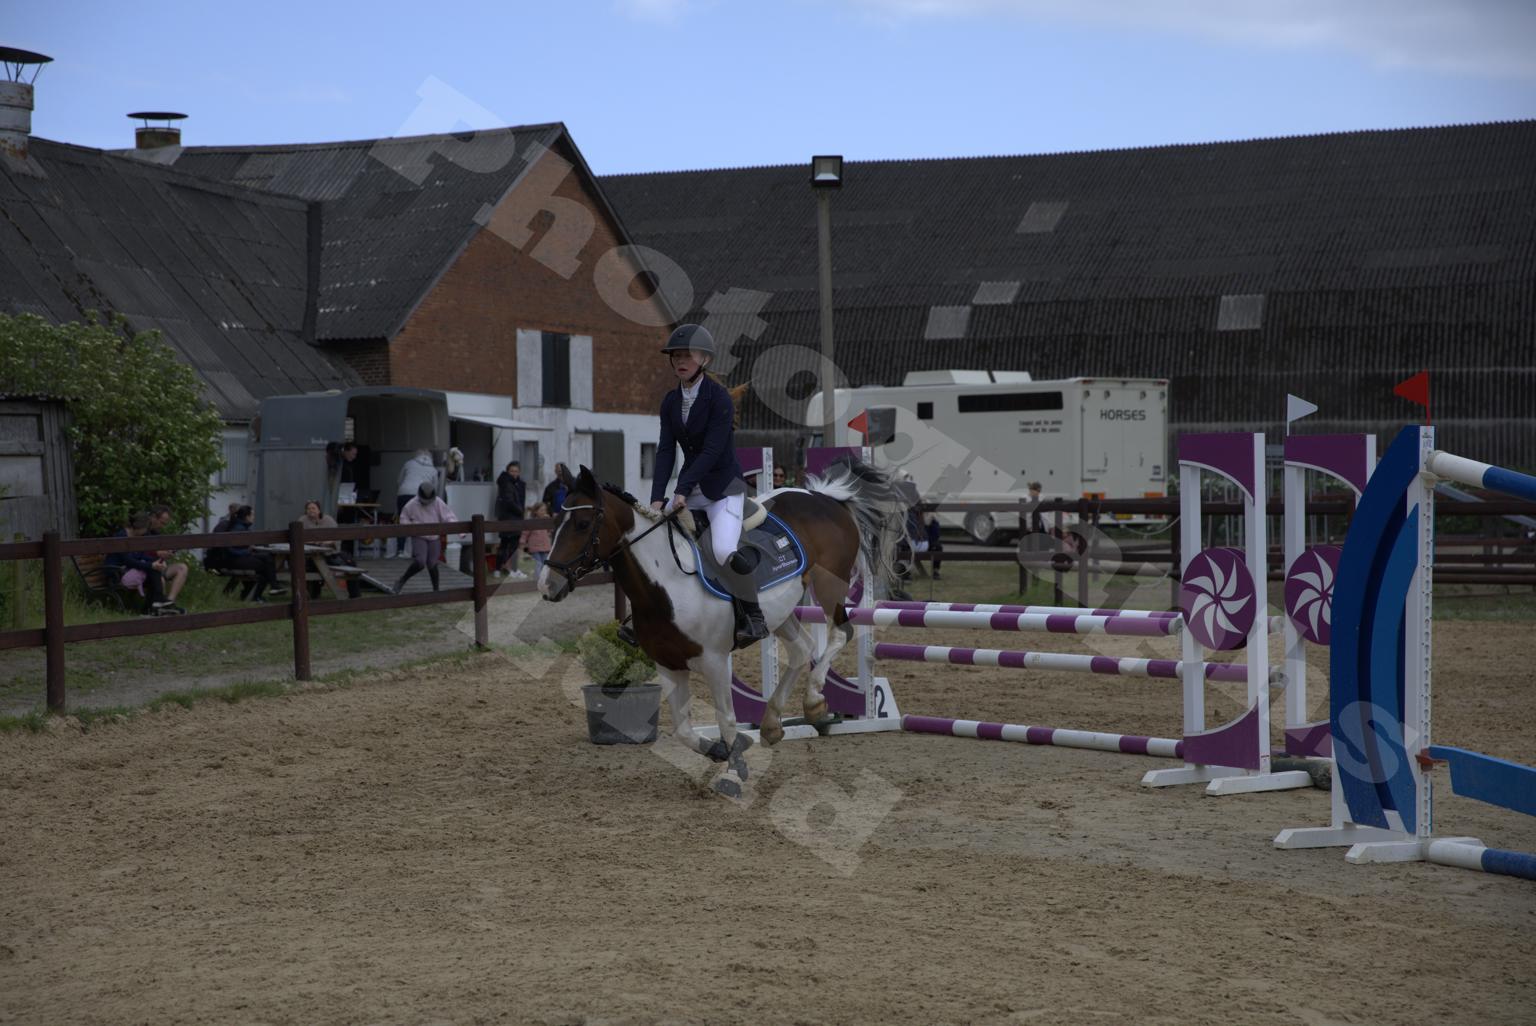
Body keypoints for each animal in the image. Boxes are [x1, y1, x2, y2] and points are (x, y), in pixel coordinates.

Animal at [538, 461, 904, 797]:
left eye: (583, 524)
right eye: (555, 523)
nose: (547, 585)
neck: (665, 582)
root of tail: (826, 497)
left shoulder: (715, 661)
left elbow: (726, 718)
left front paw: (733, 771)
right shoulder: (668, 664)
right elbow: (683, 730)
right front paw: (720, 750)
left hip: (829, 586)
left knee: (840, 633)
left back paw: (813, 701)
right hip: (781, 609)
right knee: (802, 649)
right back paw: (771, 725)